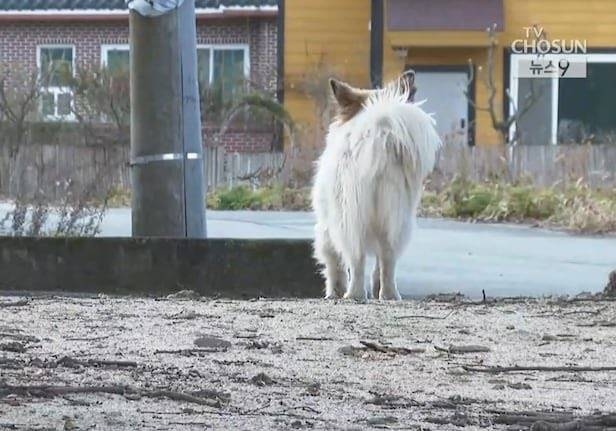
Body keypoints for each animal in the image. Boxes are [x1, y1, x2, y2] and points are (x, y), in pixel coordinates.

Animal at [312, 71, 442, 300]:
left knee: (356, 259)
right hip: (397, 217)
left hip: (348, 217)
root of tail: (380, 138)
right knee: (388, 259)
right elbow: (379, 265)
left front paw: (334, 291)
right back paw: (388, 294)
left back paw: (353, 295)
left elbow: (334, 263)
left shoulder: (326, 227)